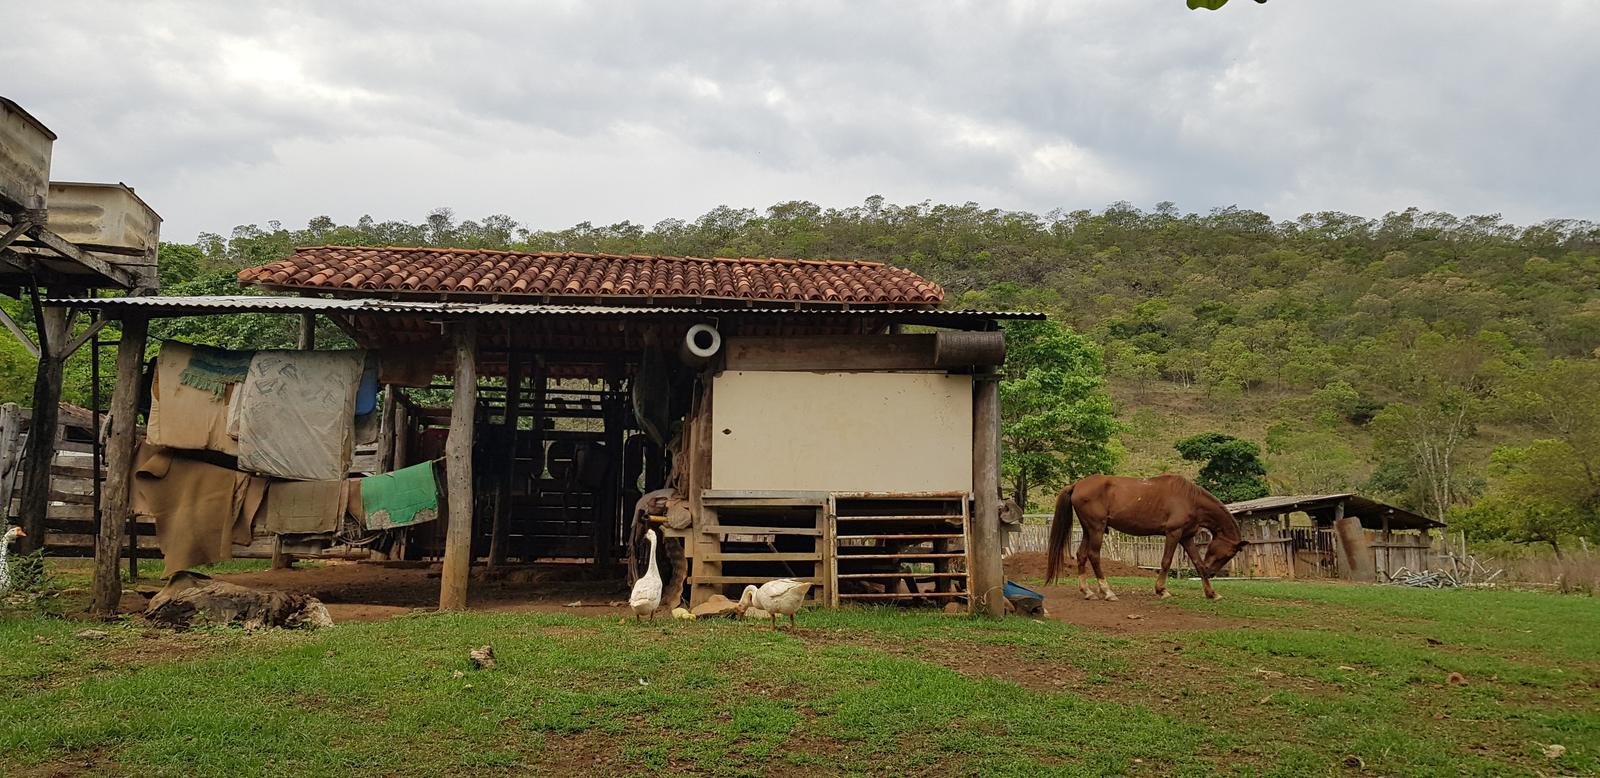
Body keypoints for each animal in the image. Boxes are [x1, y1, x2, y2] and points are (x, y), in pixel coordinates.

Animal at [1043, 473, 1254, 601]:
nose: (1212, 573)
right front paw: (1162, 590)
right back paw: (1108, 592)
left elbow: (1198, 563)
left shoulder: (1186, 537)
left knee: (1081, 555)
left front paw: (1211, 593)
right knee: (1094, 556)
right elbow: (1166, 561)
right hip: (1096, 529)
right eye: (1229, 554)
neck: (1190, 499)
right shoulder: (1173, 533)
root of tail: (1077, 485)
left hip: (1089, 530)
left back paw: (1087, 592)